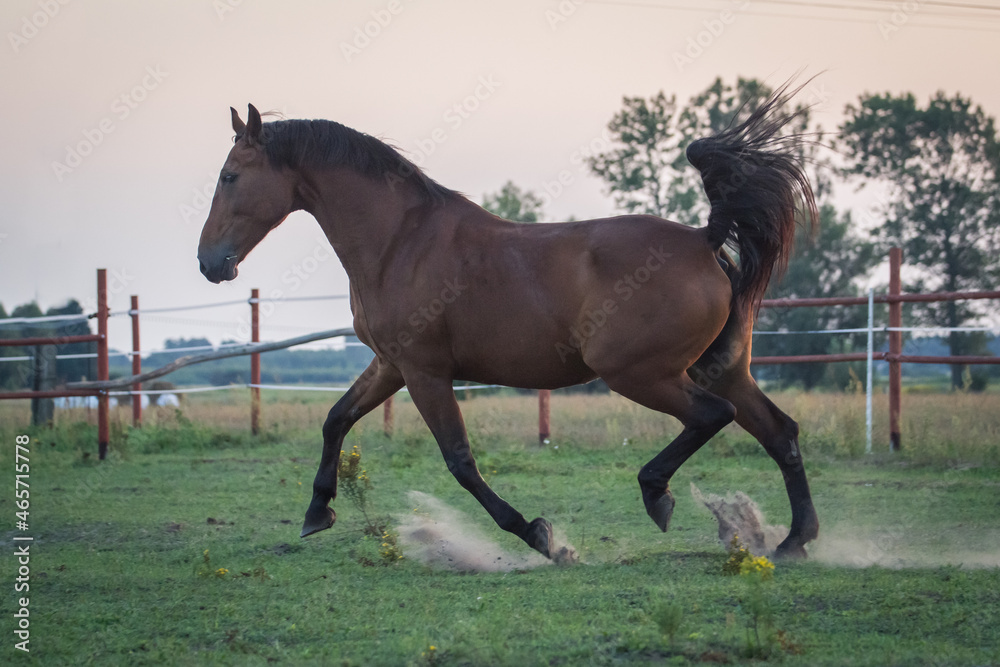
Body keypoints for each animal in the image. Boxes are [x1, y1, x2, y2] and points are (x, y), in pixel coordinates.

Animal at [197, 85, 820, 560]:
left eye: (229, 176)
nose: (209, 263)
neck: (400, 240)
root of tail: (704, 241)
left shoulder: (424, 372)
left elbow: (460, 461)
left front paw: (539, 536)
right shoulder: (391, 365)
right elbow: (335, 420)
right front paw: (316, 511)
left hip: (640, 373)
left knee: (714, 417)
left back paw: (658, 495)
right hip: (720, 368)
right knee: (780, 432)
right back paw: (794, 540)